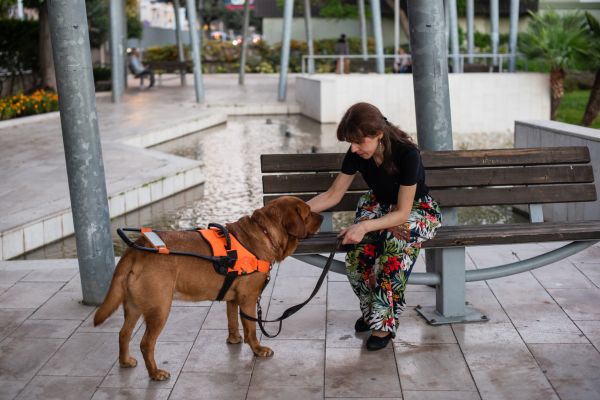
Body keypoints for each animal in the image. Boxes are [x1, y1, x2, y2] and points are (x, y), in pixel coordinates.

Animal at [92, 197, 324, 382]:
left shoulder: (233, 298)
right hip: (160, 309)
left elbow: (232, 321)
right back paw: (155, 373)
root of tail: (136, 249)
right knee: (146, 343)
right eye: (308, 212)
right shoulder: (249, 298)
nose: (322, 216)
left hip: (133, 306)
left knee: (123, 333)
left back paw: (125, 361)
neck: (264, 233)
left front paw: (234, 340)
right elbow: (250, 328)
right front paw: (257, 349)